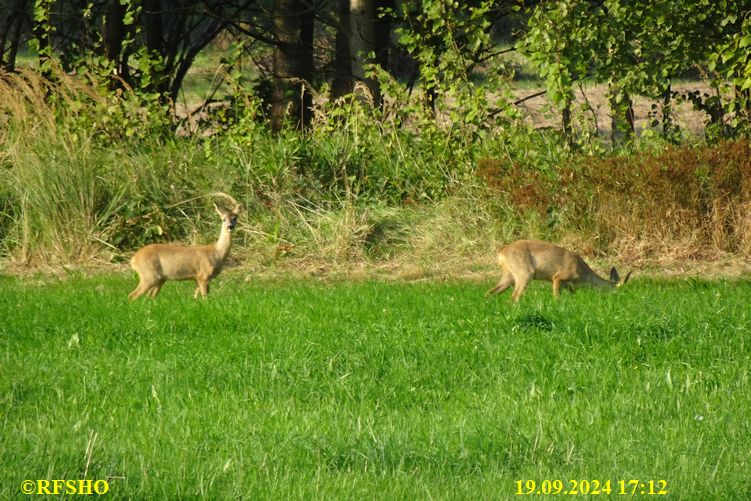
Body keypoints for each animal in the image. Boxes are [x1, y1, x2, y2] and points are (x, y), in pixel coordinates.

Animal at [488, 238, 636, 300]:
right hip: (524, 273)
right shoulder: (558, 277)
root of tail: (501, 253)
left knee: (490, 293)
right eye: (620, 290)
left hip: (509, 276)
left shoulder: (568, 285)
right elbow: (556, 297)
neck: (583, 274)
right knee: (515, 296)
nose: (623, 298)